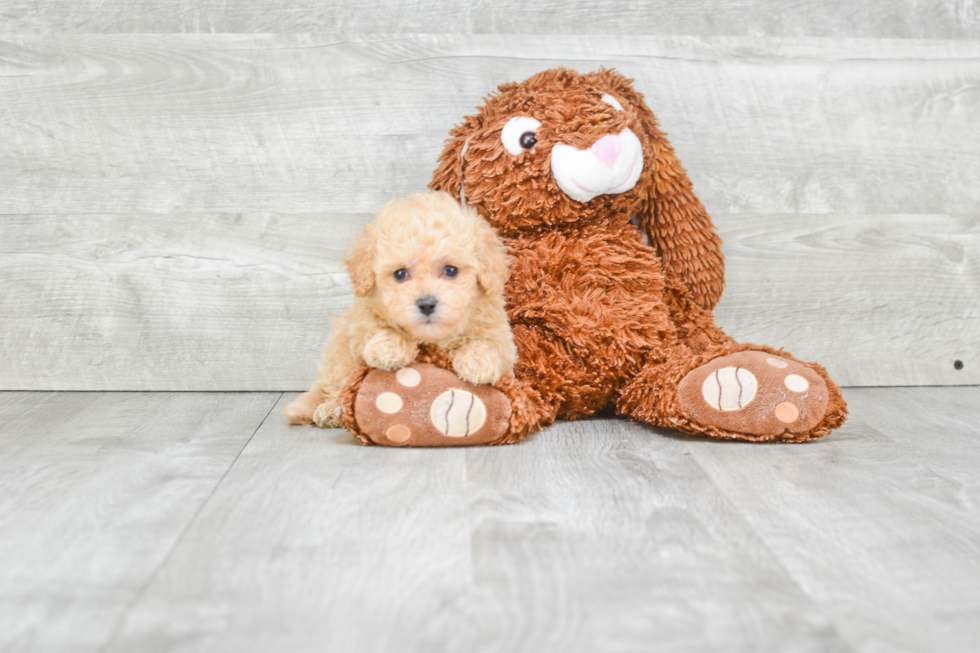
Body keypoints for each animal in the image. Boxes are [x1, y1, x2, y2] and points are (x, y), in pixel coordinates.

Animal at [282, 192, 516, 428]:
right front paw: (390, 348)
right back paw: (330, 410)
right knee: (337, 384)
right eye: (400, 274)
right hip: (340, 352)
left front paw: (479, 362)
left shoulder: (499, 332)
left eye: (451, 270)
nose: (426, 304)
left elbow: (488, 342)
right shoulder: (360, 324)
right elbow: (376, 329)